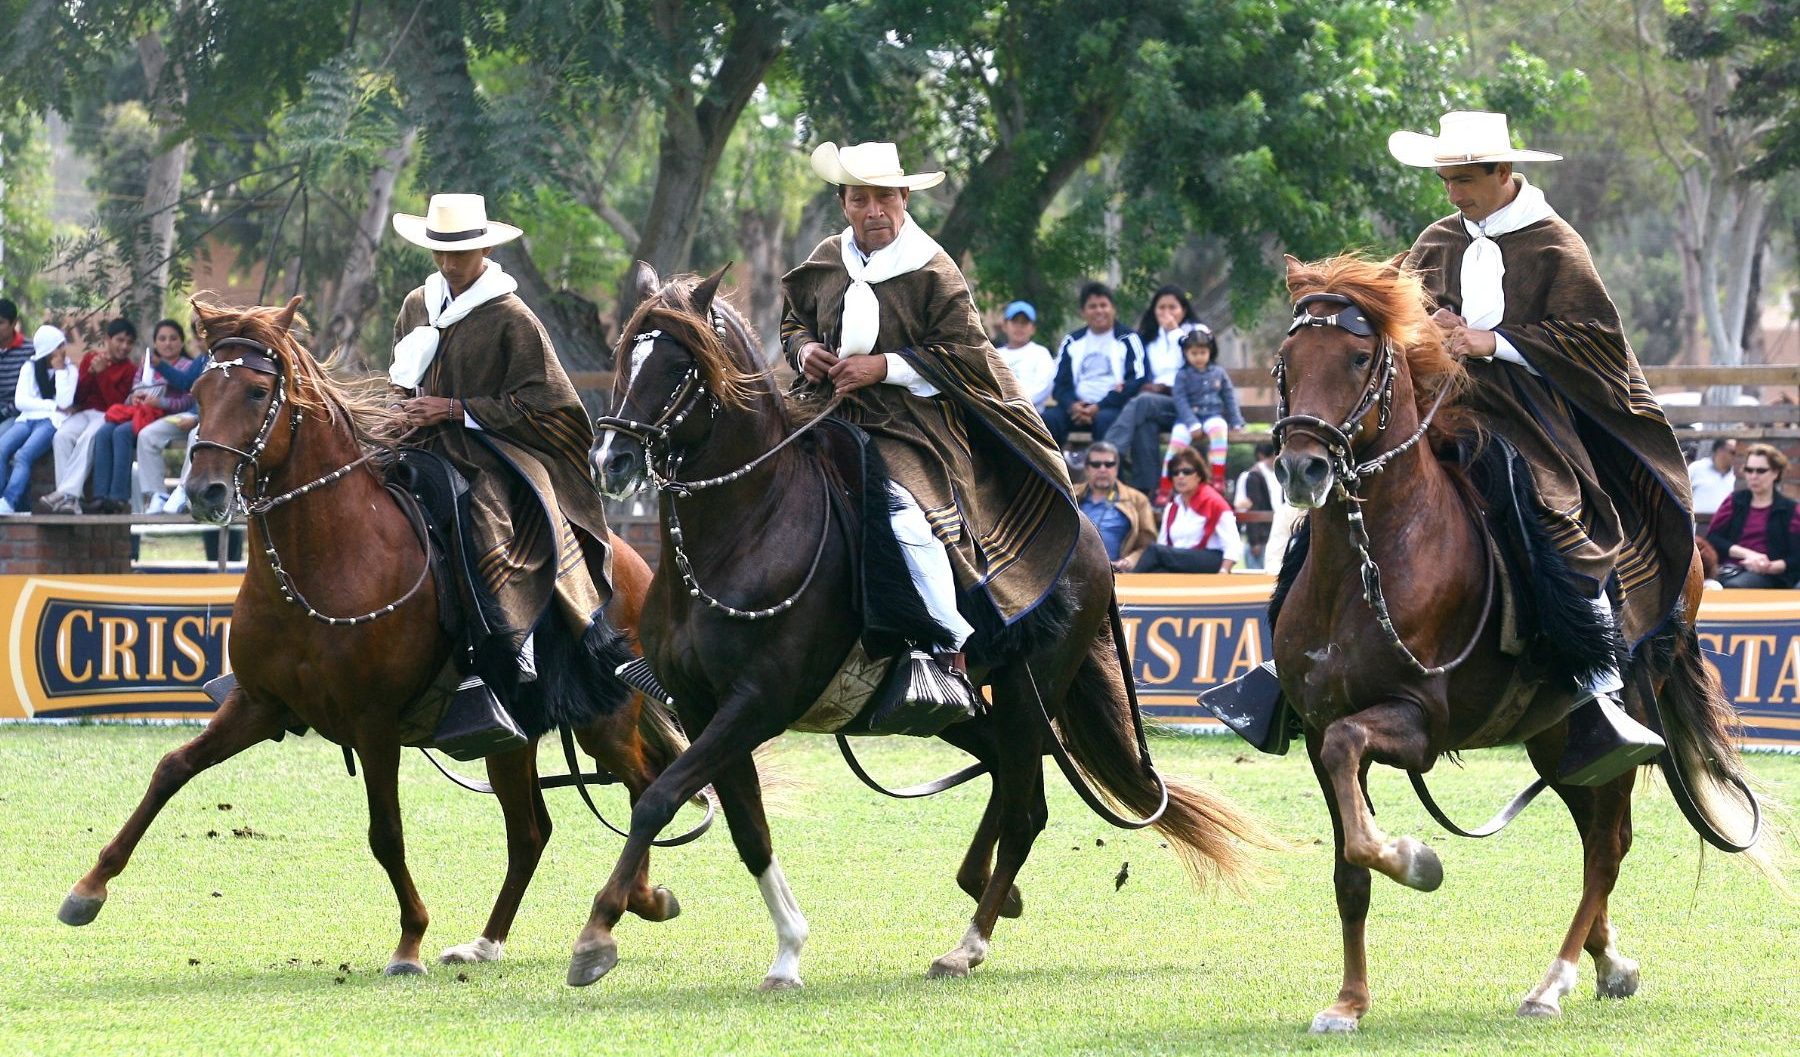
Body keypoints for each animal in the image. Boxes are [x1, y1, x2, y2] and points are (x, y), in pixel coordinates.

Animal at [57, 296, 689, 975]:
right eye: (199, 391)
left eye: (256, 391)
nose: (203, 489)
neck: (328, 560)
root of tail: (634, 564)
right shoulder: (258, 706)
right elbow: (172, 769)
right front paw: (88, 888)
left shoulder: (375, 724)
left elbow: (385, 832)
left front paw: (409, 940)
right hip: (511, 738)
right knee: (532, 831)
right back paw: (489, 941)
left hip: (604, 721)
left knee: (645, 788)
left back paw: (636, 902)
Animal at [575, 262, 1277, 990]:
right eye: (626, 353)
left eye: (680, 363)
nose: (610, 459)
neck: (746, 531)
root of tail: (1088, 537)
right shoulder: (703, 705)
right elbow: (747, 827)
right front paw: (787, 948)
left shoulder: (757, 703)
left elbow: (659, 798)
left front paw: (598, 933)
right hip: (955, 710)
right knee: (1004, 771)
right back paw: (990, 889)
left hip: (1028, 692)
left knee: (1027, 808)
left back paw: (969, 943)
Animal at [1268, 254, 1773, 1031]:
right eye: (1286, 362)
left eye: (1357, 358)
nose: (1303, 470)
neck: (1366, 567)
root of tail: (1690, 561)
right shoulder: (1321, 731)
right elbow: (1349, 866)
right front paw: (1348, 1002)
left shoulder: (1418, 723)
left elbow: (1360, 788)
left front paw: (1416, 859)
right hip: (1559, 740)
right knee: (1598, 837)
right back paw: (1609, 962)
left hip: (1619, 725)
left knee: (1606, 849)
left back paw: (1552, 982)